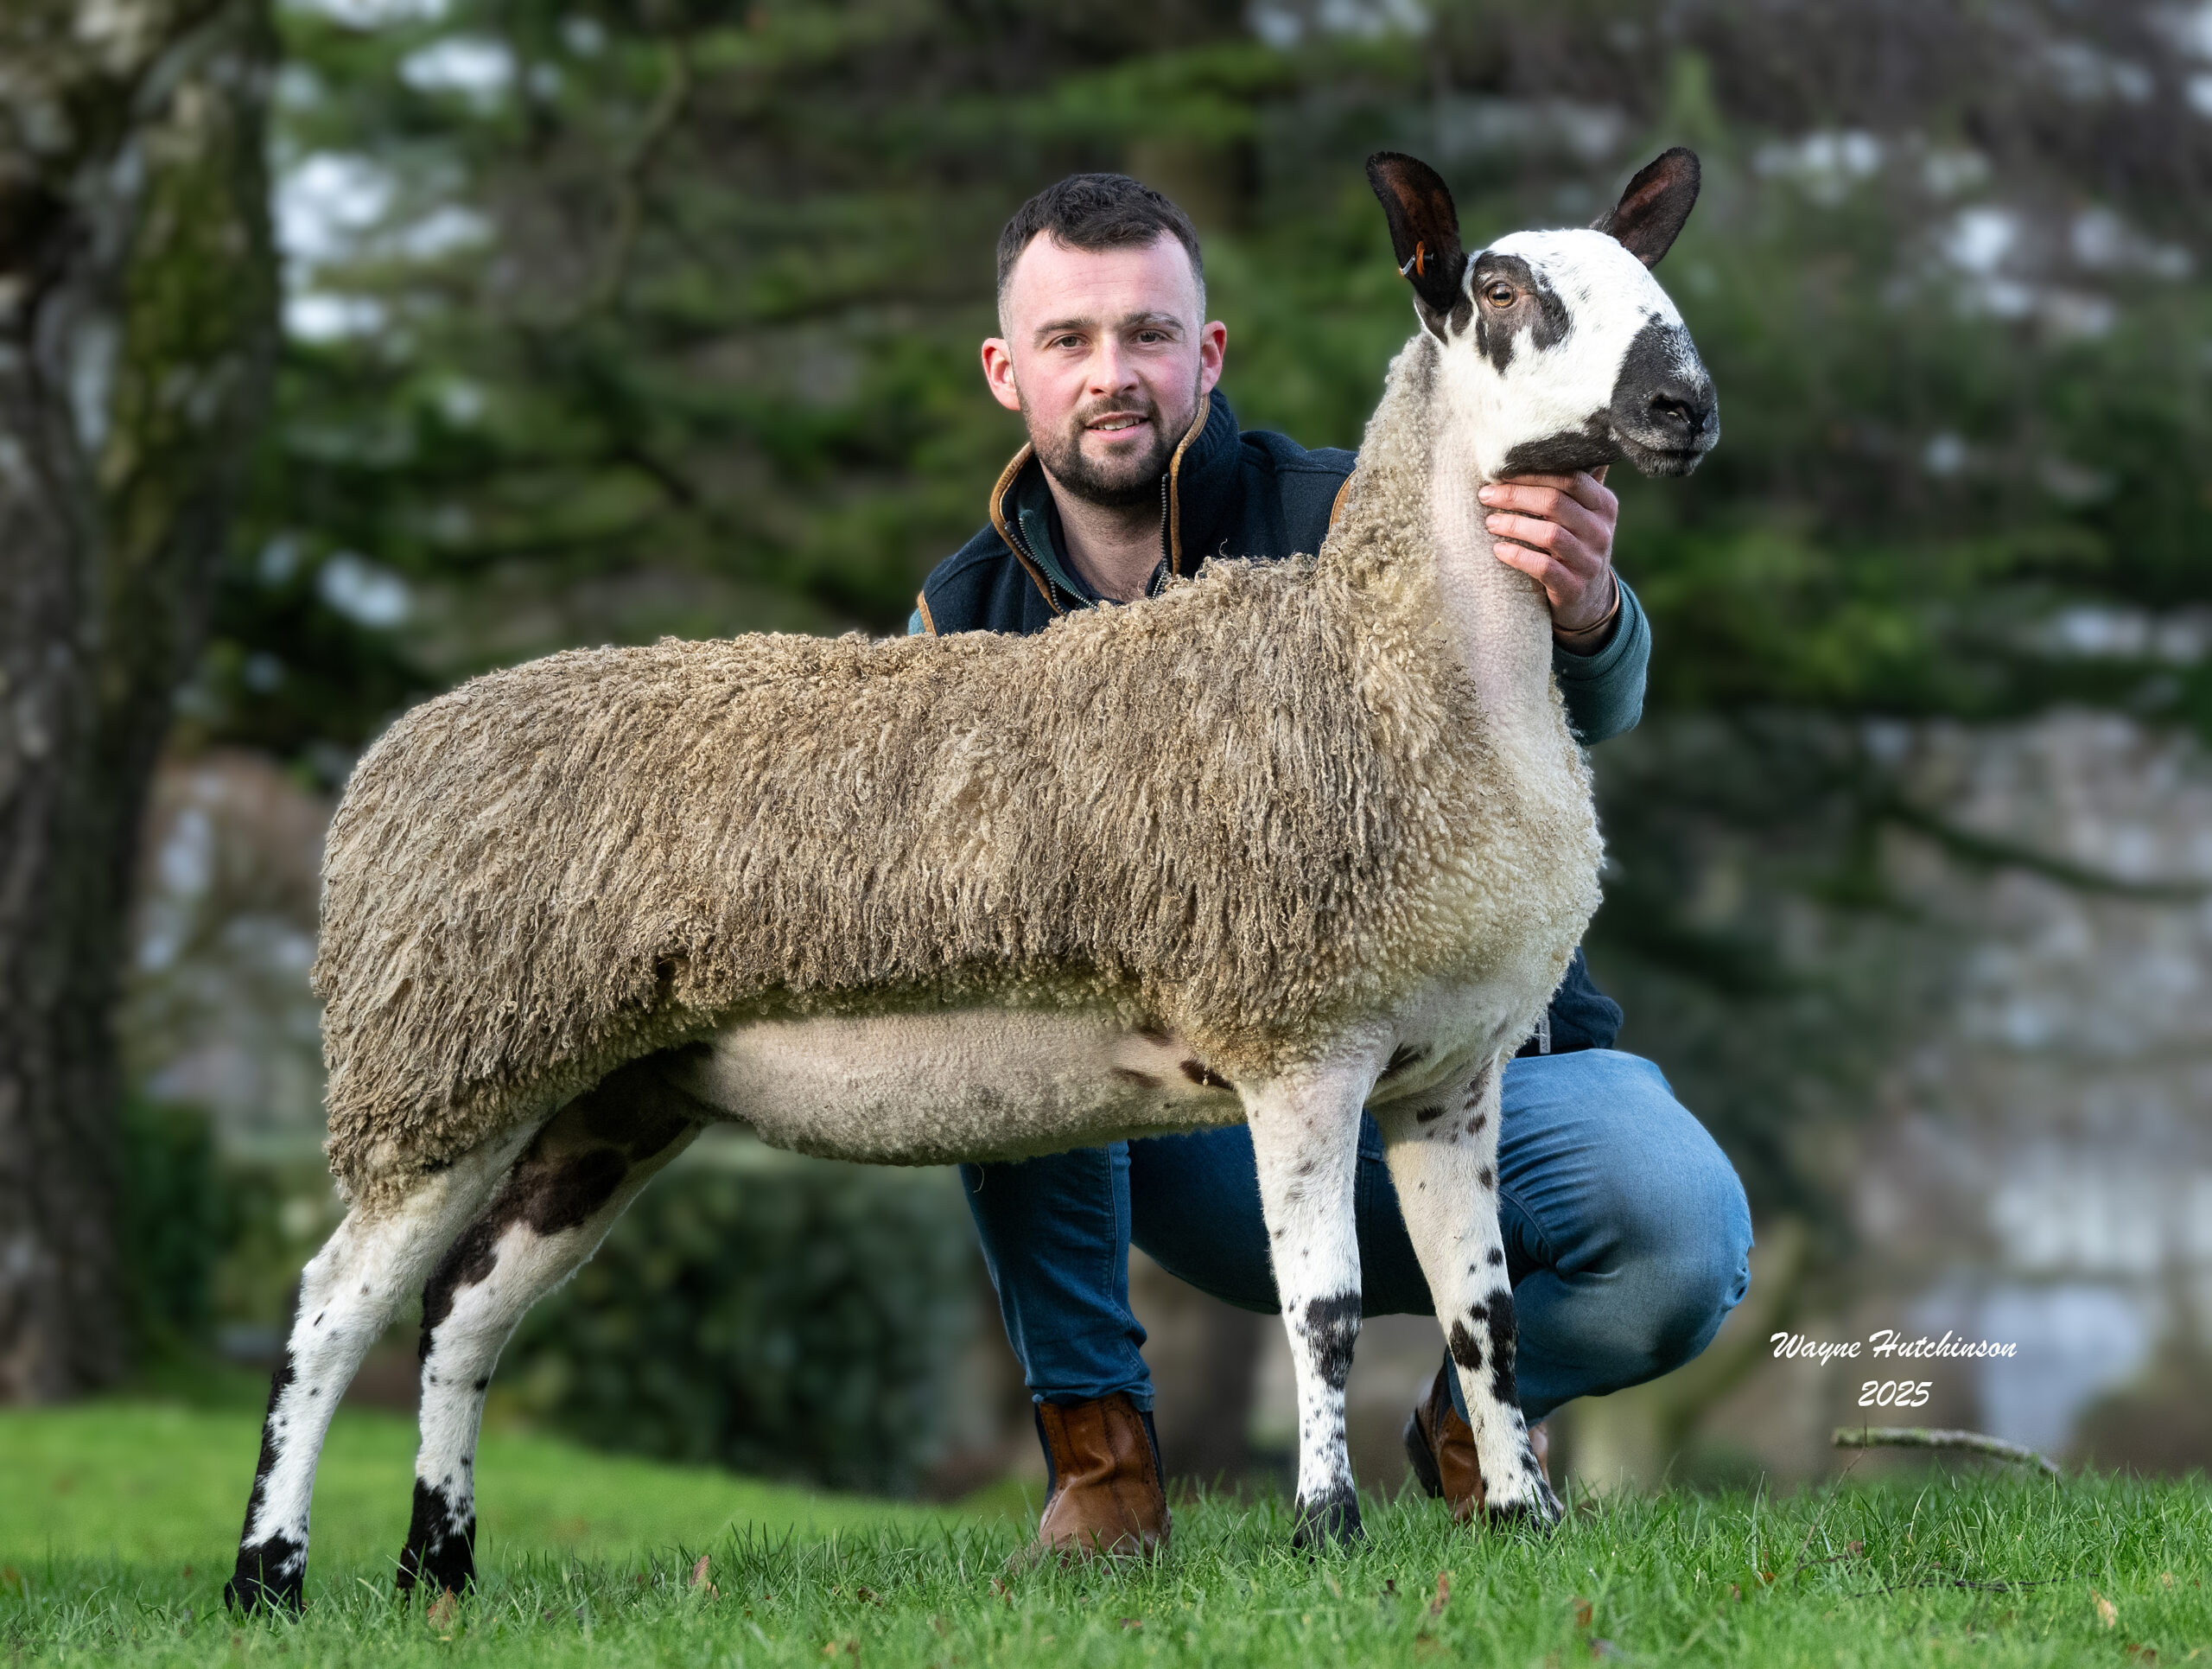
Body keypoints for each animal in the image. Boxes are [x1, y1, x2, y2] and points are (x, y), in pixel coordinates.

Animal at [219, 149, 1707, 1602]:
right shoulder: (1299, 1037)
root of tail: (396, 753)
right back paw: (268, 1574)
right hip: (443, 1062)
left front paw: (1521, 1520)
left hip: (610, 1092)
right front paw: (1327, 1533)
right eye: (1504, 290)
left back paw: (439, 1564)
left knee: (462, 1310)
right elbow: (1327, 1312)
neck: (1398, 661)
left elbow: (1483, 1313)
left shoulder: (1449, 1071)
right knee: (328, 1308)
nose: (1683, 403)